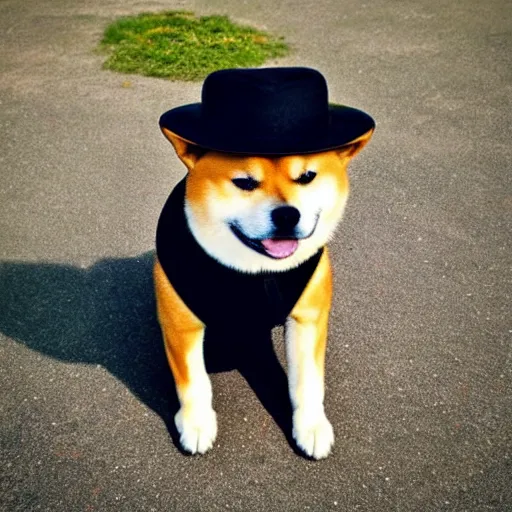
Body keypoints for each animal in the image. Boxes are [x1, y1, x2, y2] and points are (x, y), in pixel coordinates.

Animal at [154, 67, 374, 460]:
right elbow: (193, 382)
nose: (287, 215)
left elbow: (307, 383)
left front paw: (310, 427)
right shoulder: (182, 322)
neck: (256, 271)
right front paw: (196, 424)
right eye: (244, 182)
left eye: (307, 176)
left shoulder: (308, 317)